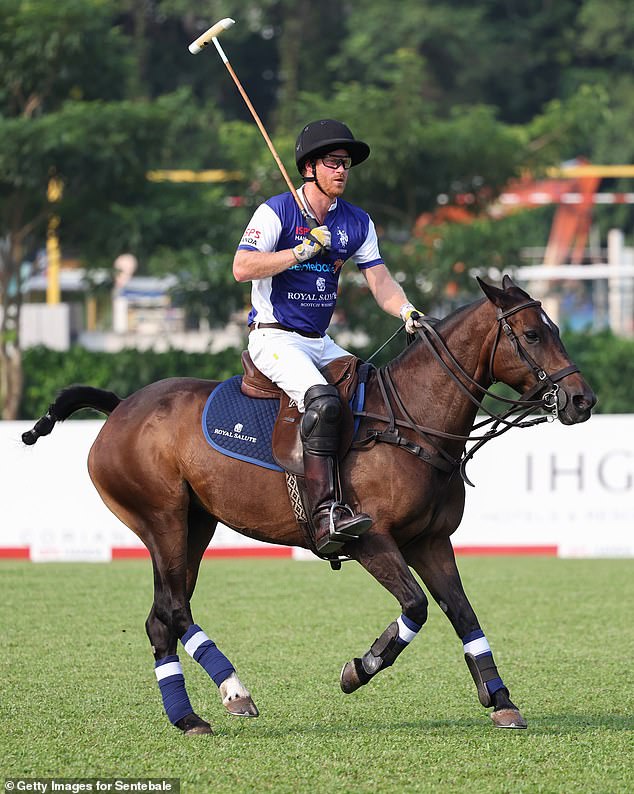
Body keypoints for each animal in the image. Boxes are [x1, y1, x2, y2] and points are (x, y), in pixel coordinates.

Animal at [19, 276, 592, 732]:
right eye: (534, 334)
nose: (582, 400)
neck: (412, 422)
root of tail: (119, 409)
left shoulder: (430, 540)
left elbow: (462, 612)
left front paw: (500, 699)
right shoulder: (369, 539)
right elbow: (415, 606)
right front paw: (358, 670)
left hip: (195, 524)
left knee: (162, 616)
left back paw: (187, 718)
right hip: (160, 519)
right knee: (175, 609)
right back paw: (235, 691)